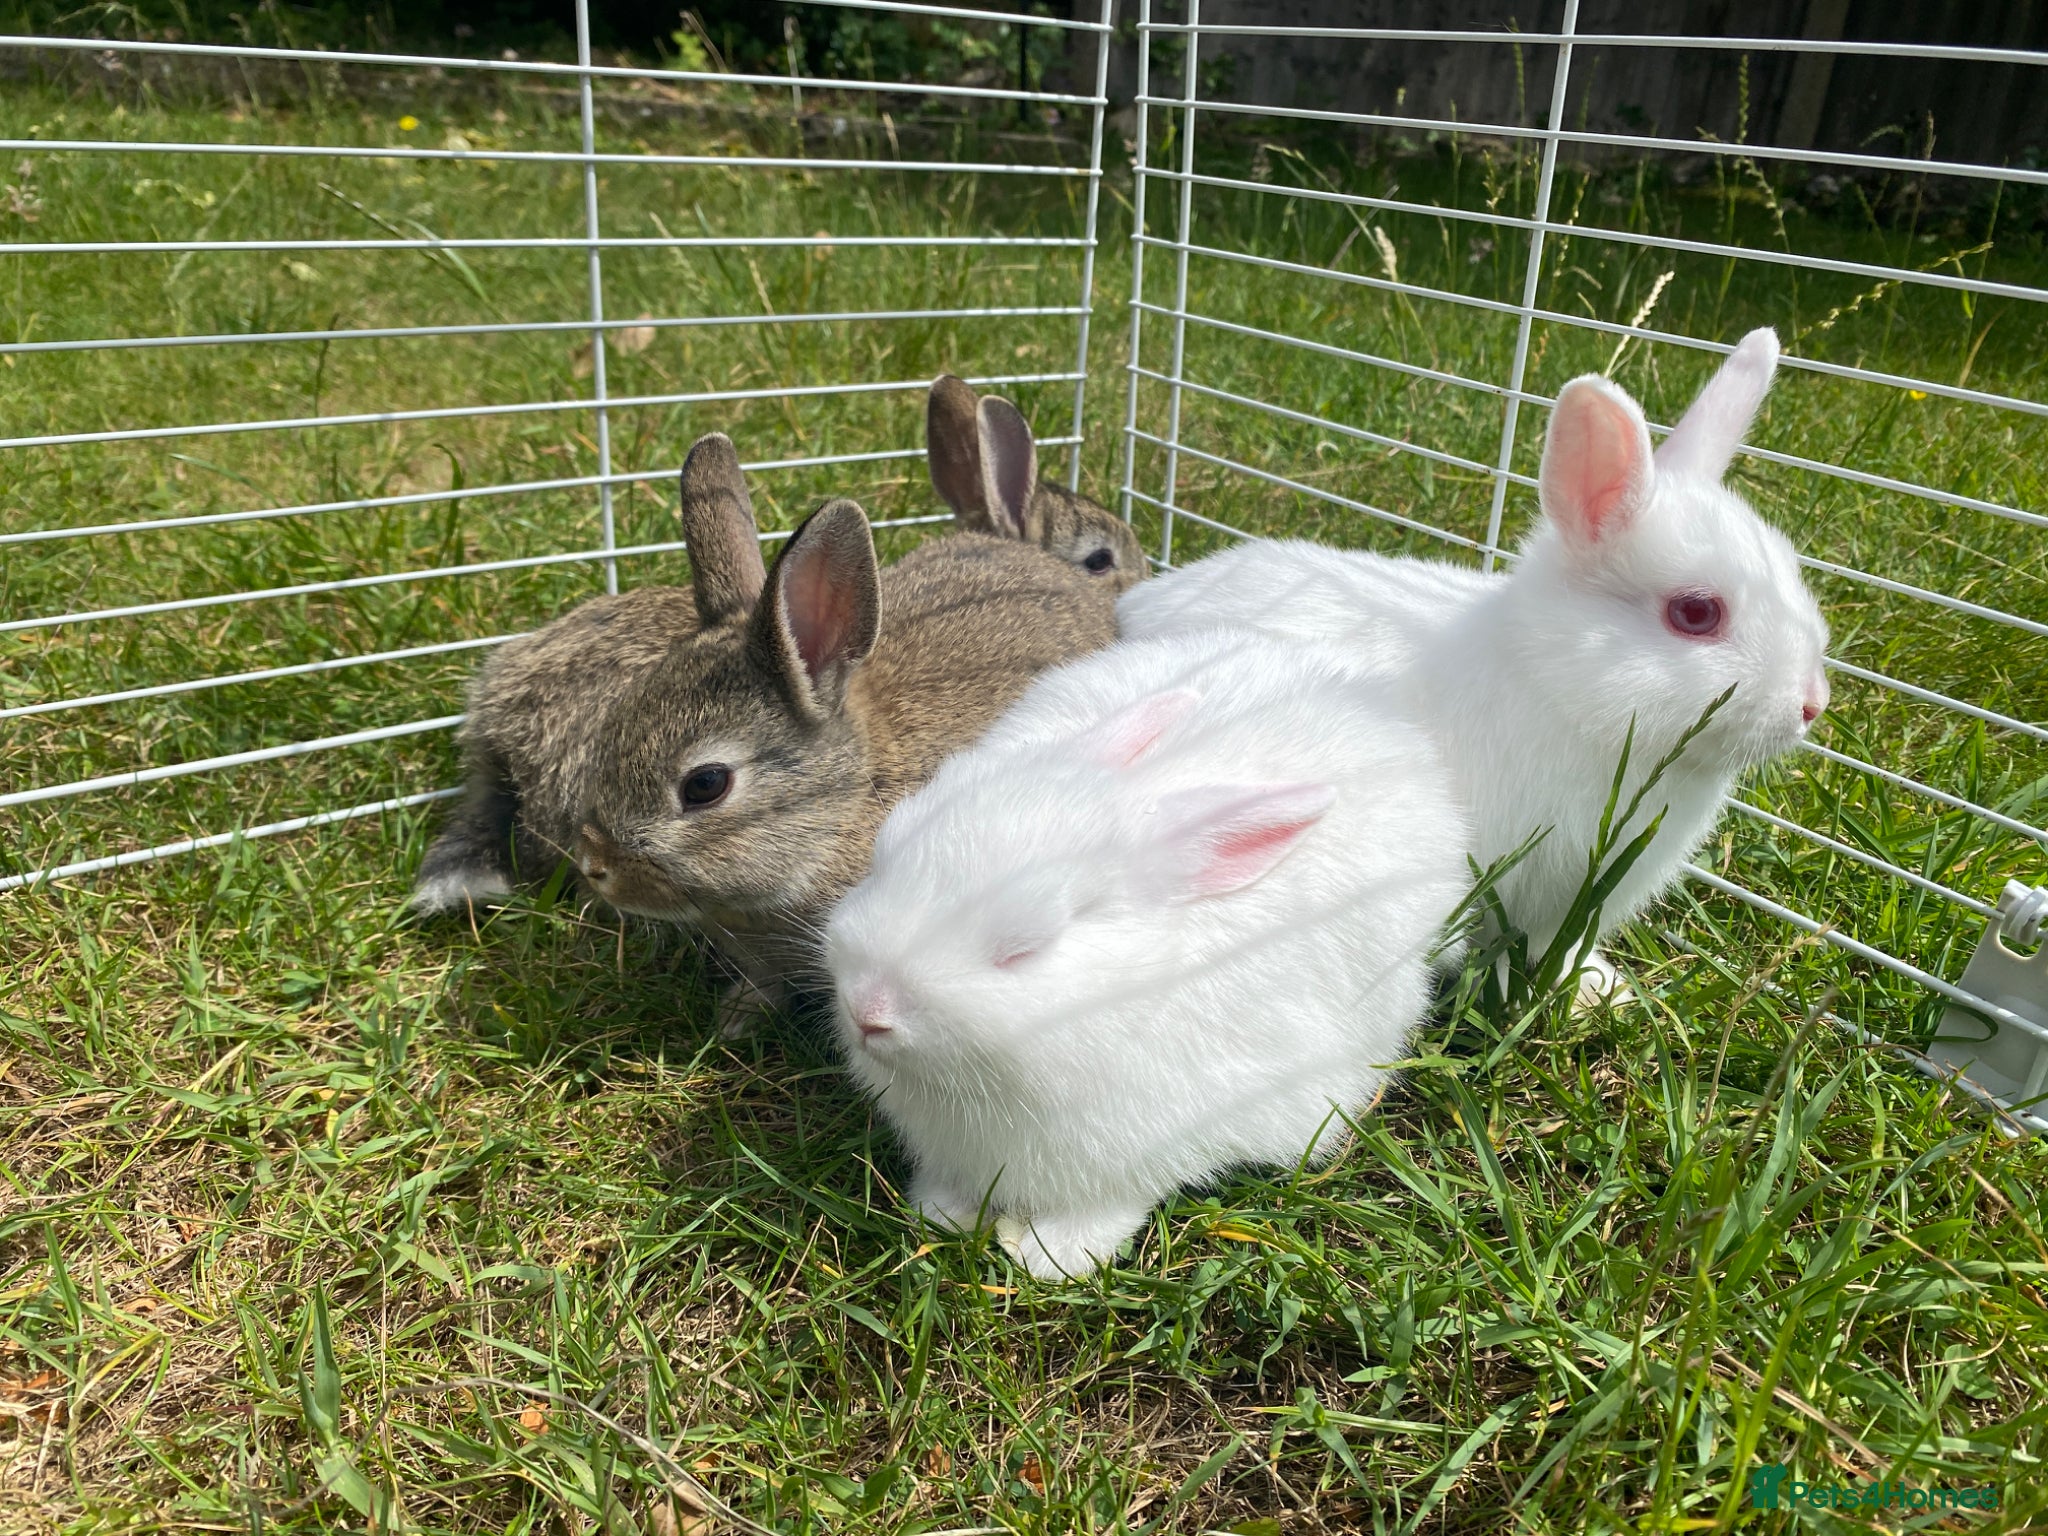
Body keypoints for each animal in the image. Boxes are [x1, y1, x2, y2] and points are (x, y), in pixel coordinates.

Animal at [823, 627, 1474, 1278]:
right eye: (885, 856)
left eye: (1024, 950)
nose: (867, 1010)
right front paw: (939, 1215)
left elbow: (1111, 1203)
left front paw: (1052, 1257)